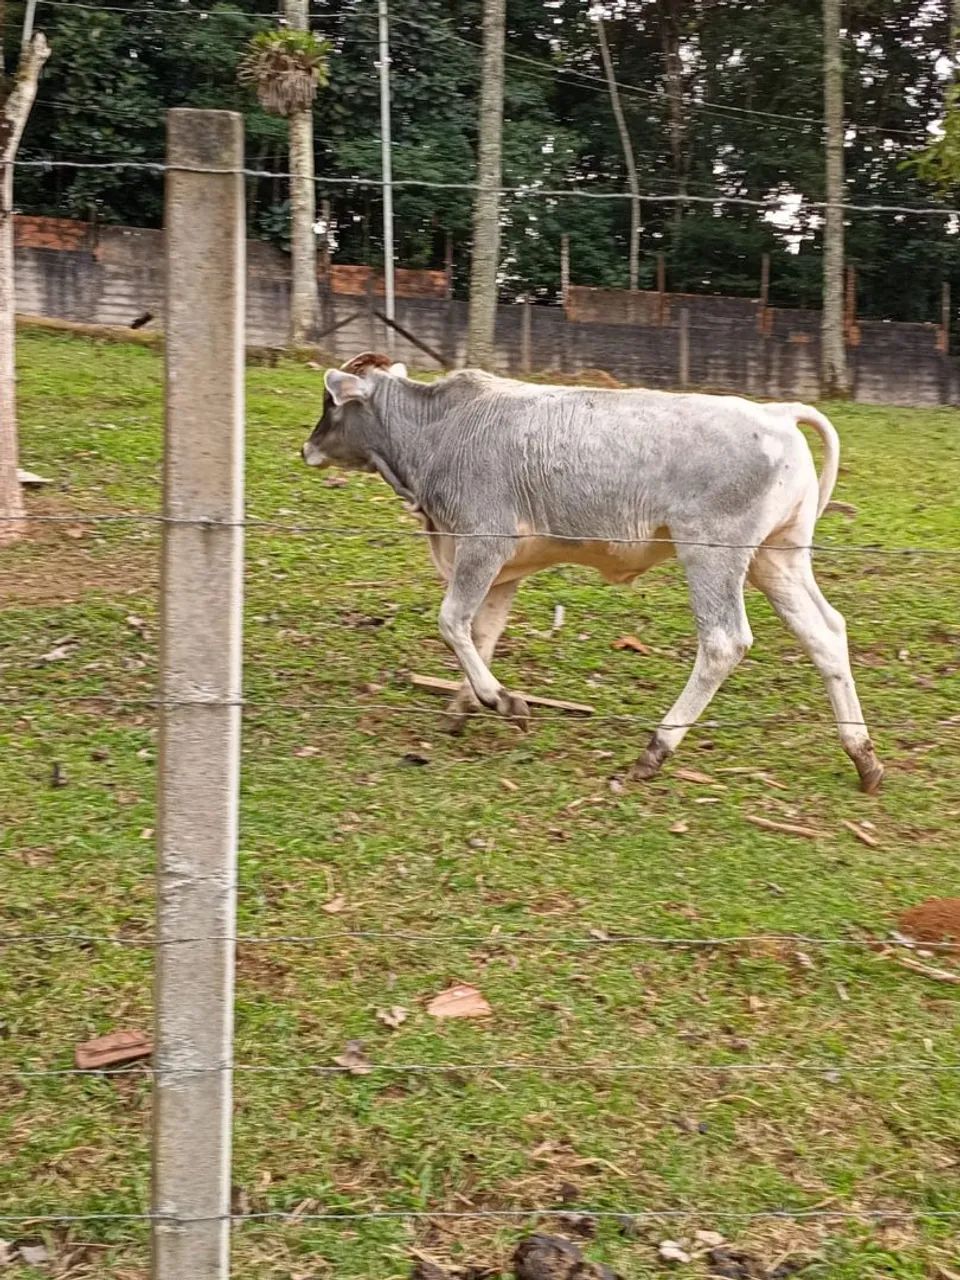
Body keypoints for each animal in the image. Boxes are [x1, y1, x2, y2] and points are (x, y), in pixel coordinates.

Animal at [301, 353, 883, 794]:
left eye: (330, 403)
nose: (307, 447)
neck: (439, 432)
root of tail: (778, 414)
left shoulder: (481, 544)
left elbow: (451, 622)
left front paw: (501, 701)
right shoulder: (505, 570)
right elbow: (480, 632)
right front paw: (468, 706)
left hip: (712, 555)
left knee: (724, 642)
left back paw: (656, 750)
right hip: (777, 557)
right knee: (826, 632)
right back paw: (863, 757)